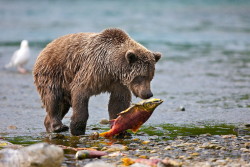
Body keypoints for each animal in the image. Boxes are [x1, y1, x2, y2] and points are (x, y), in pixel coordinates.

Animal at [33, 28, 161, 136]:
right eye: (141, 76)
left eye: (151, 77)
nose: (148, 94)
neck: (111, 67)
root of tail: (46, 47)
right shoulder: (93, 71)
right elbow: (80, 93)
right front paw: (77, 129)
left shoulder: (118, 83)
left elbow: (118, 102)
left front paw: (120, 128)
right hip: (52, 73)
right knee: (53, 99)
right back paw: (57, 126)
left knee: (63, 105)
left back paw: (49, 125)